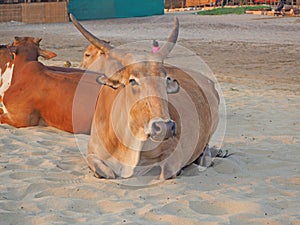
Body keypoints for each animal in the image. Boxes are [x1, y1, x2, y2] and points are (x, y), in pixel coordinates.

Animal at [70, 14, 220, 179]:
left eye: (166, 79)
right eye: (132, 80)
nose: (164, 127)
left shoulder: (174, 153)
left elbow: (166, 172)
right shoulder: (92, 154)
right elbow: (106, 172)